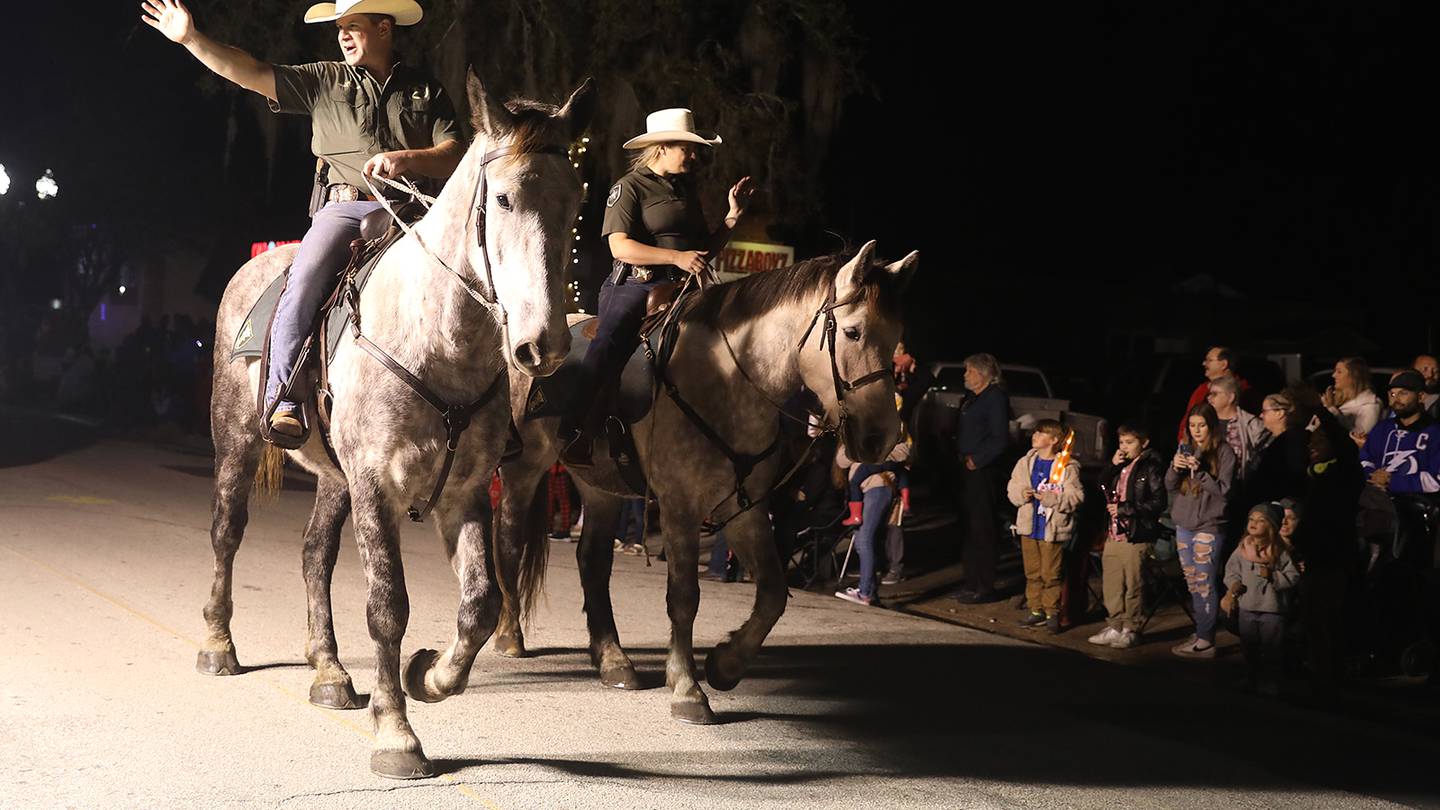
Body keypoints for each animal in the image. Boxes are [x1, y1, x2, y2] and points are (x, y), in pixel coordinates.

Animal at [200, 75, 593, 778]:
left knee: (314, 555)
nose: (542, 345)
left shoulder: (464, 492)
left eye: (574, 200)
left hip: (335, 477)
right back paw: (219, 643)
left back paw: (329, 671)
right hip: (238, 443)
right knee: (227, 532)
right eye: (504, 198)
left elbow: (480, 604)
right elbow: (387, 606)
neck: (436, 338)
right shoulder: (376, 487)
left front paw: (428, 676)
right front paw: (396, 734)